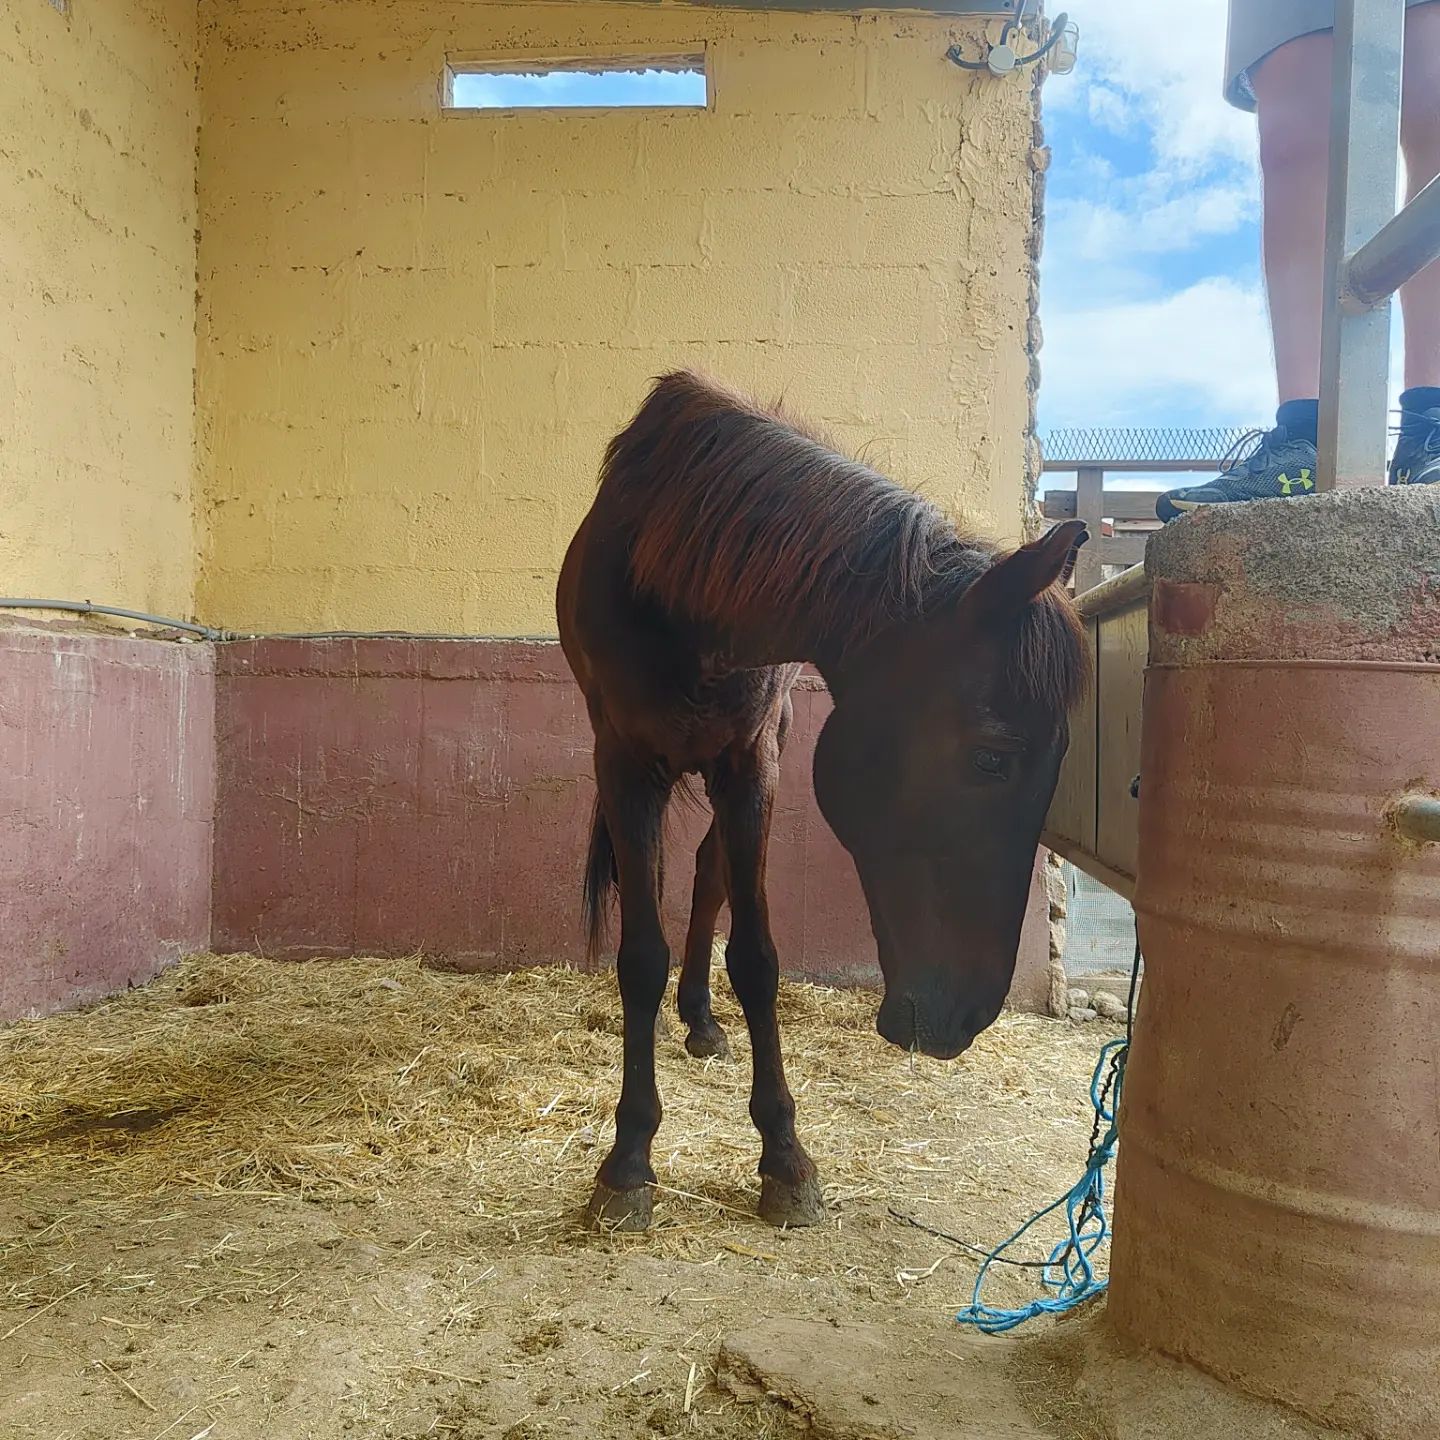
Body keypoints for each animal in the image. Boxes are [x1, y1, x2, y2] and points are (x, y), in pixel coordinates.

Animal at [555, 371, 1082, 1226]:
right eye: (992, 758)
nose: (966, 1016)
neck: (679, 589)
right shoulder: (627, 765)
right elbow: (639, 955)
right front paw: (629, 1159)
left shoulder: (754, 762)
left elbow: (756, 956)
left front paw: (784, 1157)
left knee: (709, 873)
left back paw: (700, 1019)